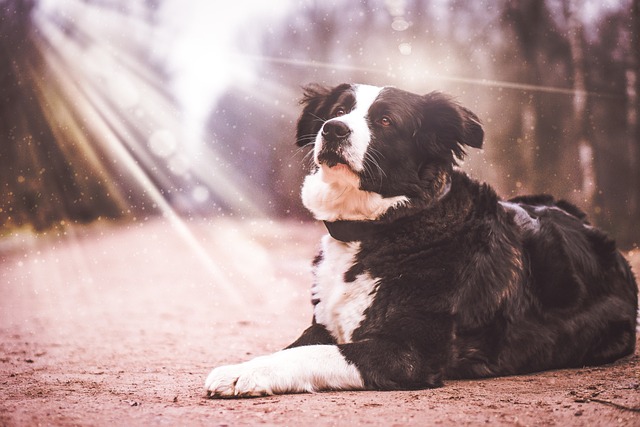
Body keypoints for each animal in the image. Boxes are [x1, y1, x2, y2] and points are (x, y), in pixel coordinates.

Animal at [205, 83, 636, 398]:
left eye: (385, 120)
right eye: (337, 111)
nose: (333, 129)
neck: (383, 227)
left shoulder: (408, 350)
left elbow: (312, 354)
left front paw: (242, 374)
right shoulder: (324, 323)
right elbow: (298, 346)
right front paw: (246, 367)